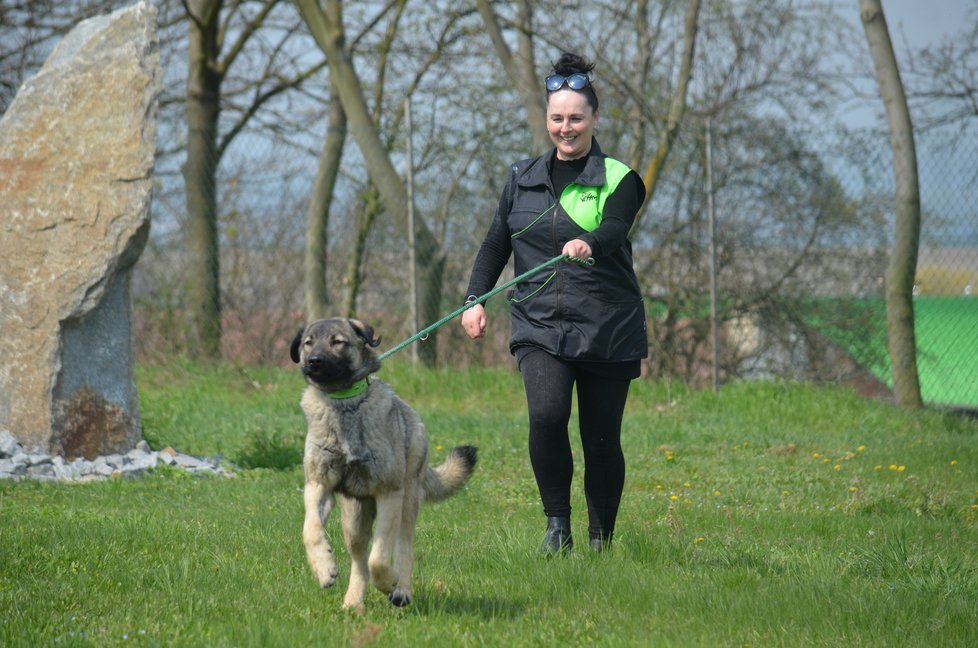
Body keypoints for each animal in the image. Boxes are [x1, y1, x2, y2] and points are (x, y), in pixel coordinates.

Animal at [286, 318, 476, 612]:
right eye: (308, 343)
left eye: (337, 342)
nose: (314, 361)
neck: (345, 403)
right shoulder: (318, 486)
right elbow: (311, 529)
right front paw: (323, 568)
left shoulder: (389, 493)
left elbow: (380, 557)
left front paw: (389, 583)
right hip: (354, 520)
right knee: (359, 559)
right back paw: (353, 602)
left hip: (407, 501)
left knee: (402, 547)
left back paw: (402, 590)